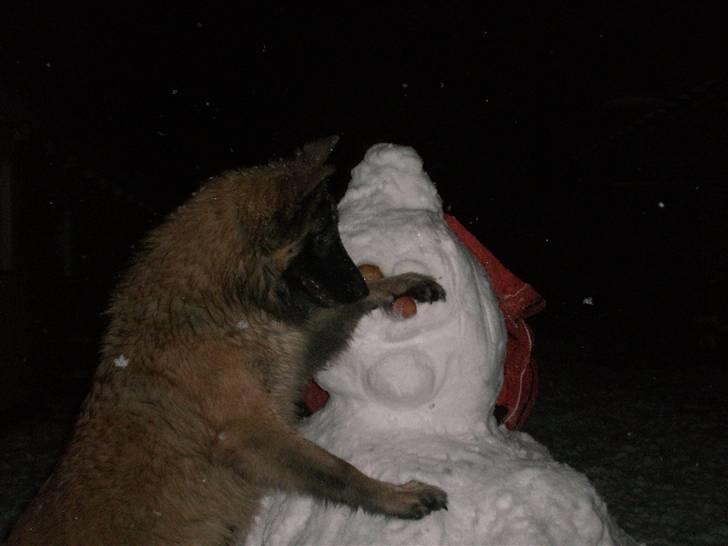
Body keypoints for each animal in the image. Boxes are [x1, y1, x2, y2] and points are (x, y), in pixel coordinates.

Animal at [5, 137, 446, 544]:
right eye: (322, 236)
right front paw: (396, 496)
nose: (359, 286)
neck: (224, 305)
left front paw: (396, 283)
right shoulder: (249, 432)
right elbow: (337, 470)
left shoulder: (292, 365)